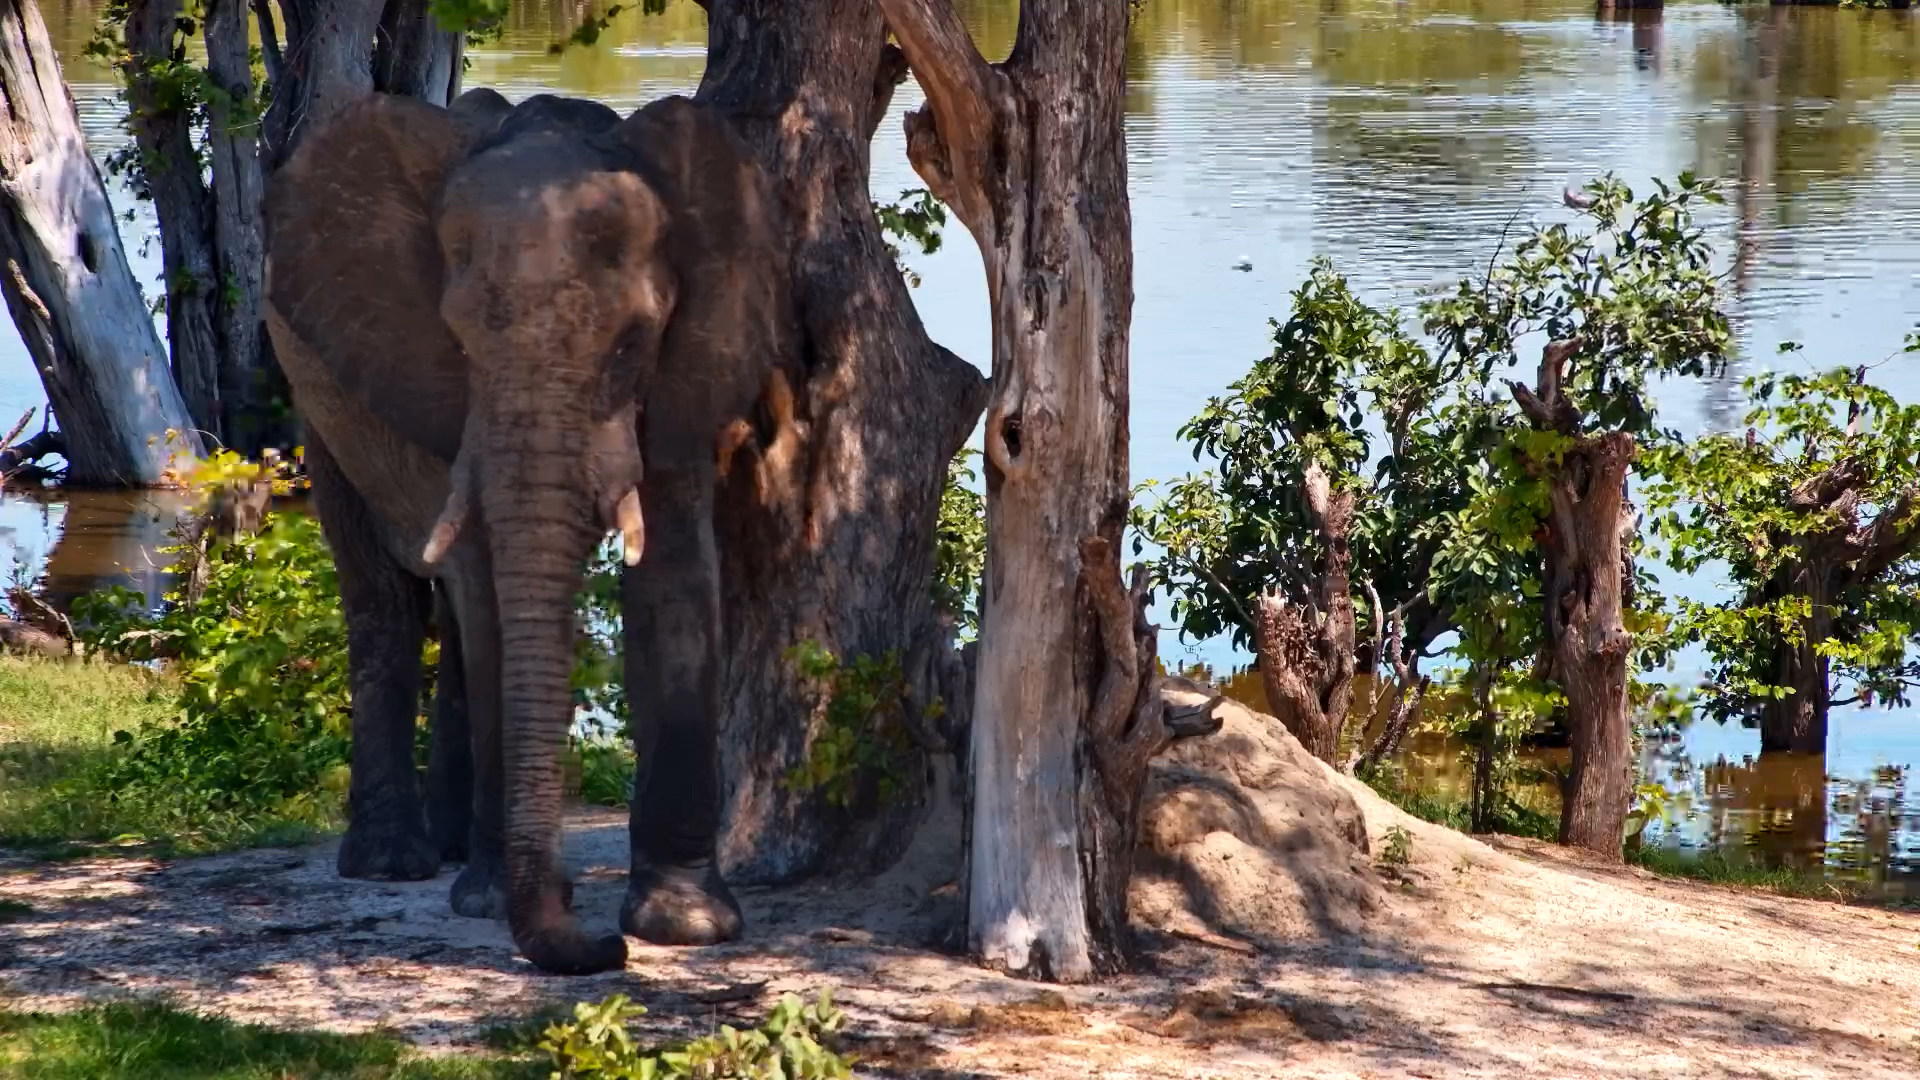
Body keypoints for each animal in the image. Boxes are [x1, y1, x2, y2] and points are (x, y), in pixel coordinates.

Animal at [263, 88, 799, 974]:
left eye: (631, 343)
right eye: (460, 340)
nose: (600, 945)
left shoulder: (687, 370)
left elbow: (676, 579)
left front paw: (683, 927)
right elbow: (488, 593)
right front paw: (488, 904)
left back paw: (449, 851)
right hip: (316, 397)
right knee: (386, 603)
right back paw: (395, 864)